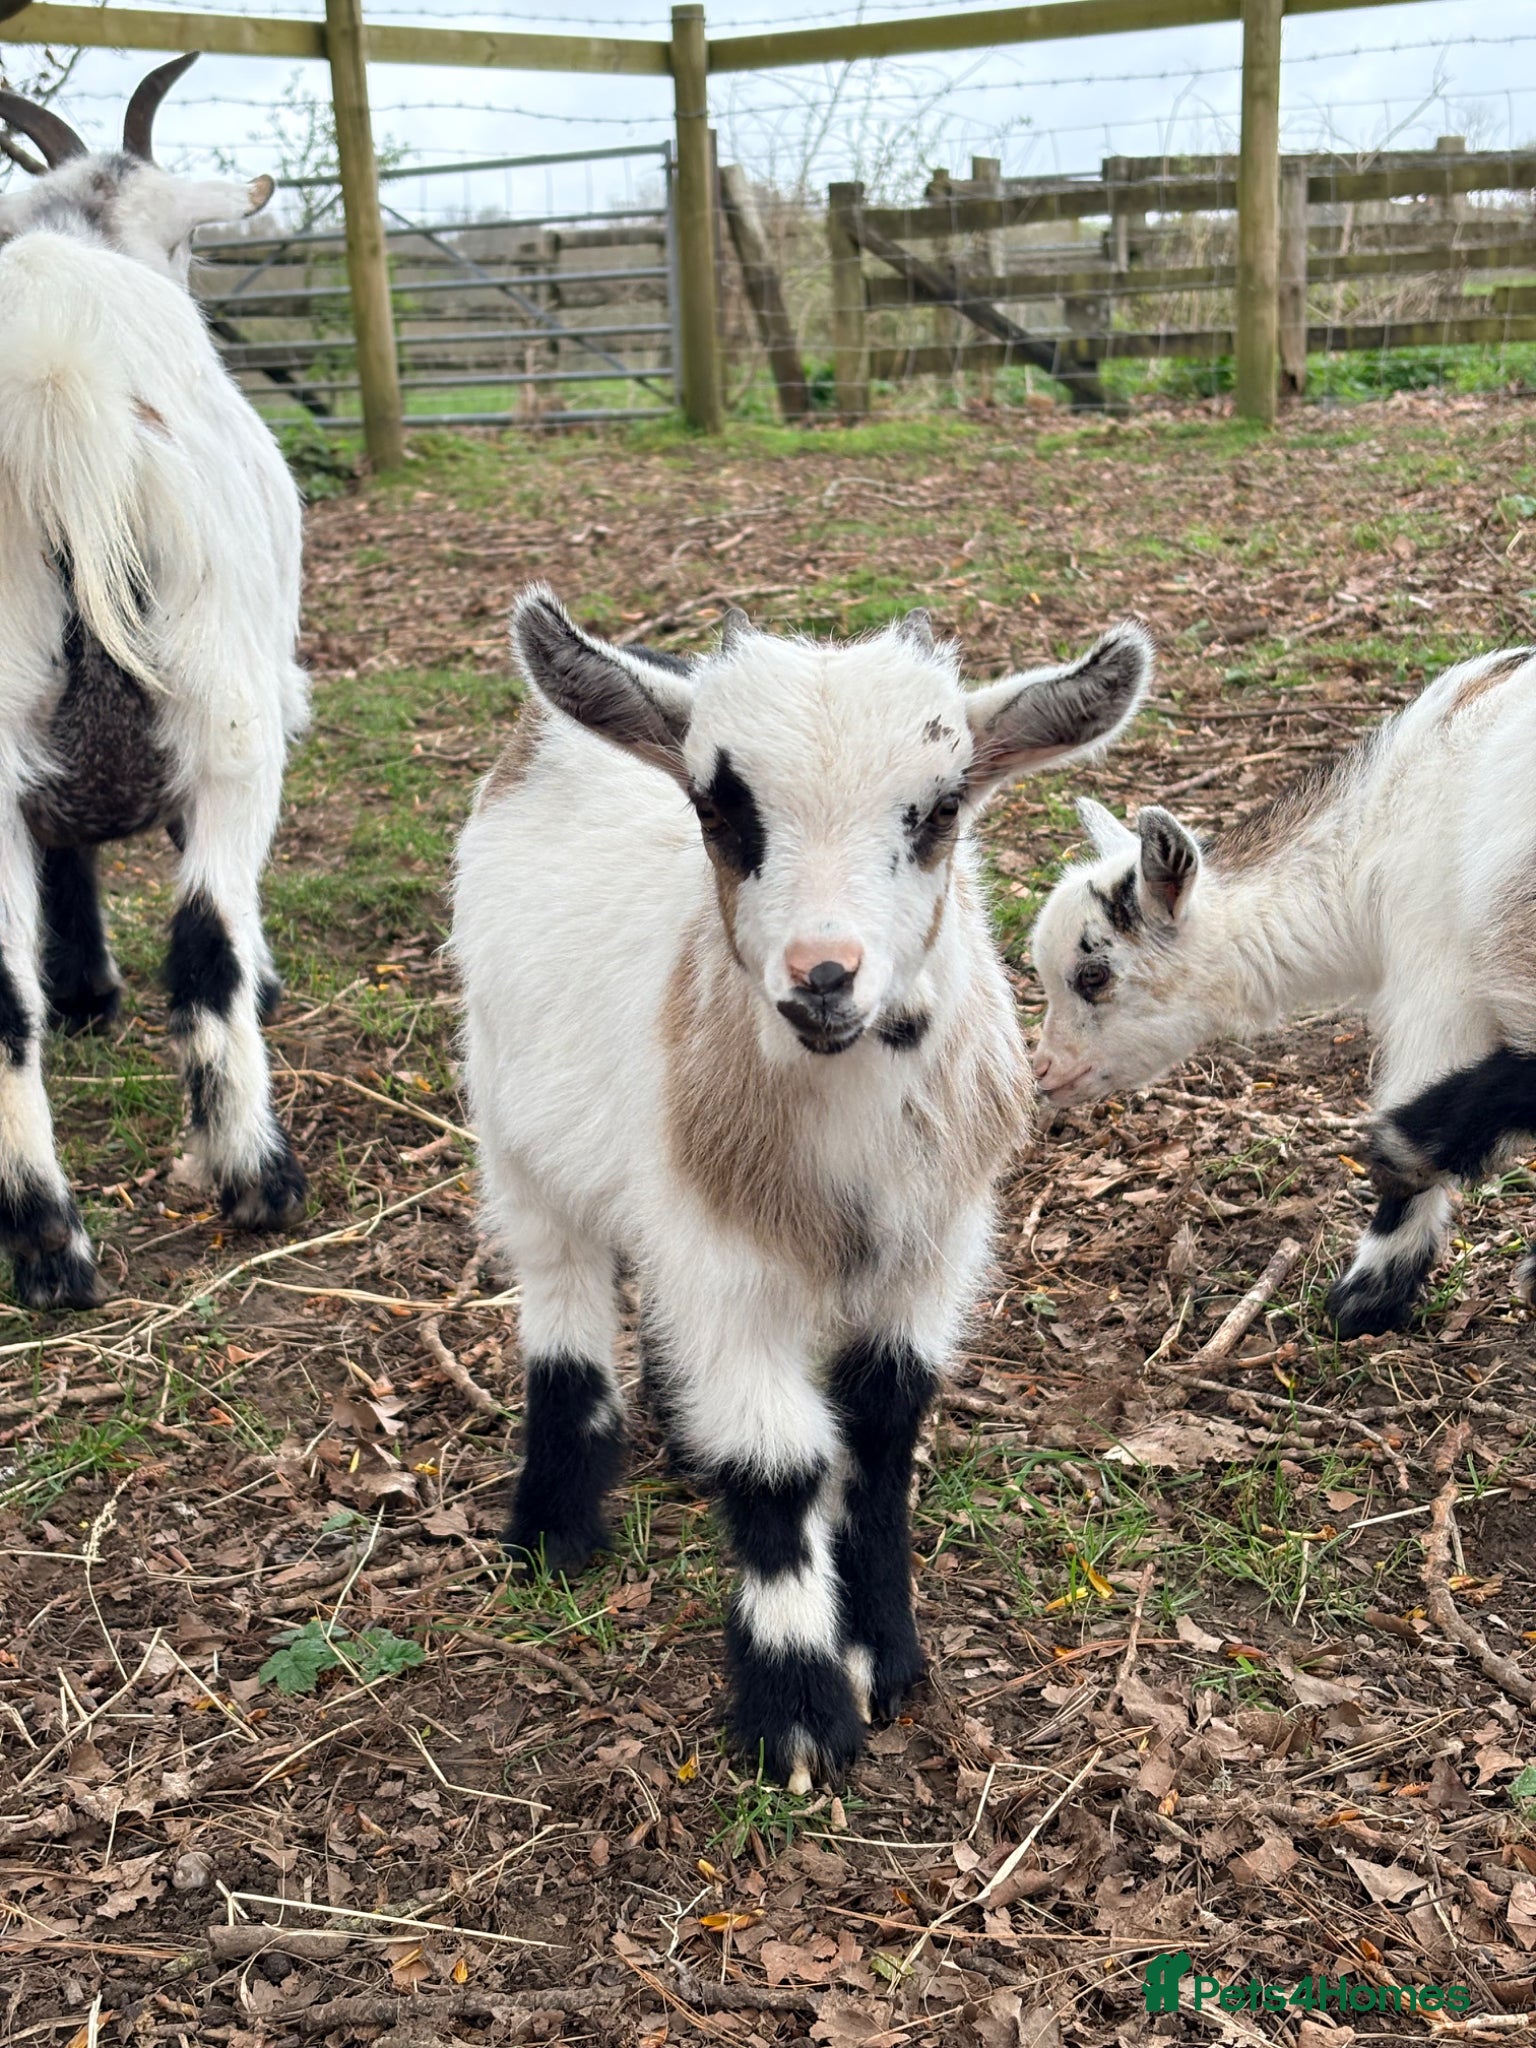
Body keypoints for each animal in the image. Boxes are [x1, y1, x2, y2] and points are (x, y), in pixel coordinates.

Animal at [452, 586, 1152, 1787]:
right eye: (719, 806)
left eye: (941, 807)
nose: (824, 976)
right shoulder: (732, 1262)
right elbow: (778, 1469)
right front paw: (799, 1712)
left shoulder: (931, 1247)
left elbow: (879, 1439)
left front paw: (885, 1652)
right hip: (515, 1123)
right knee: (563, 1289)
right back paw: (555, 1524)